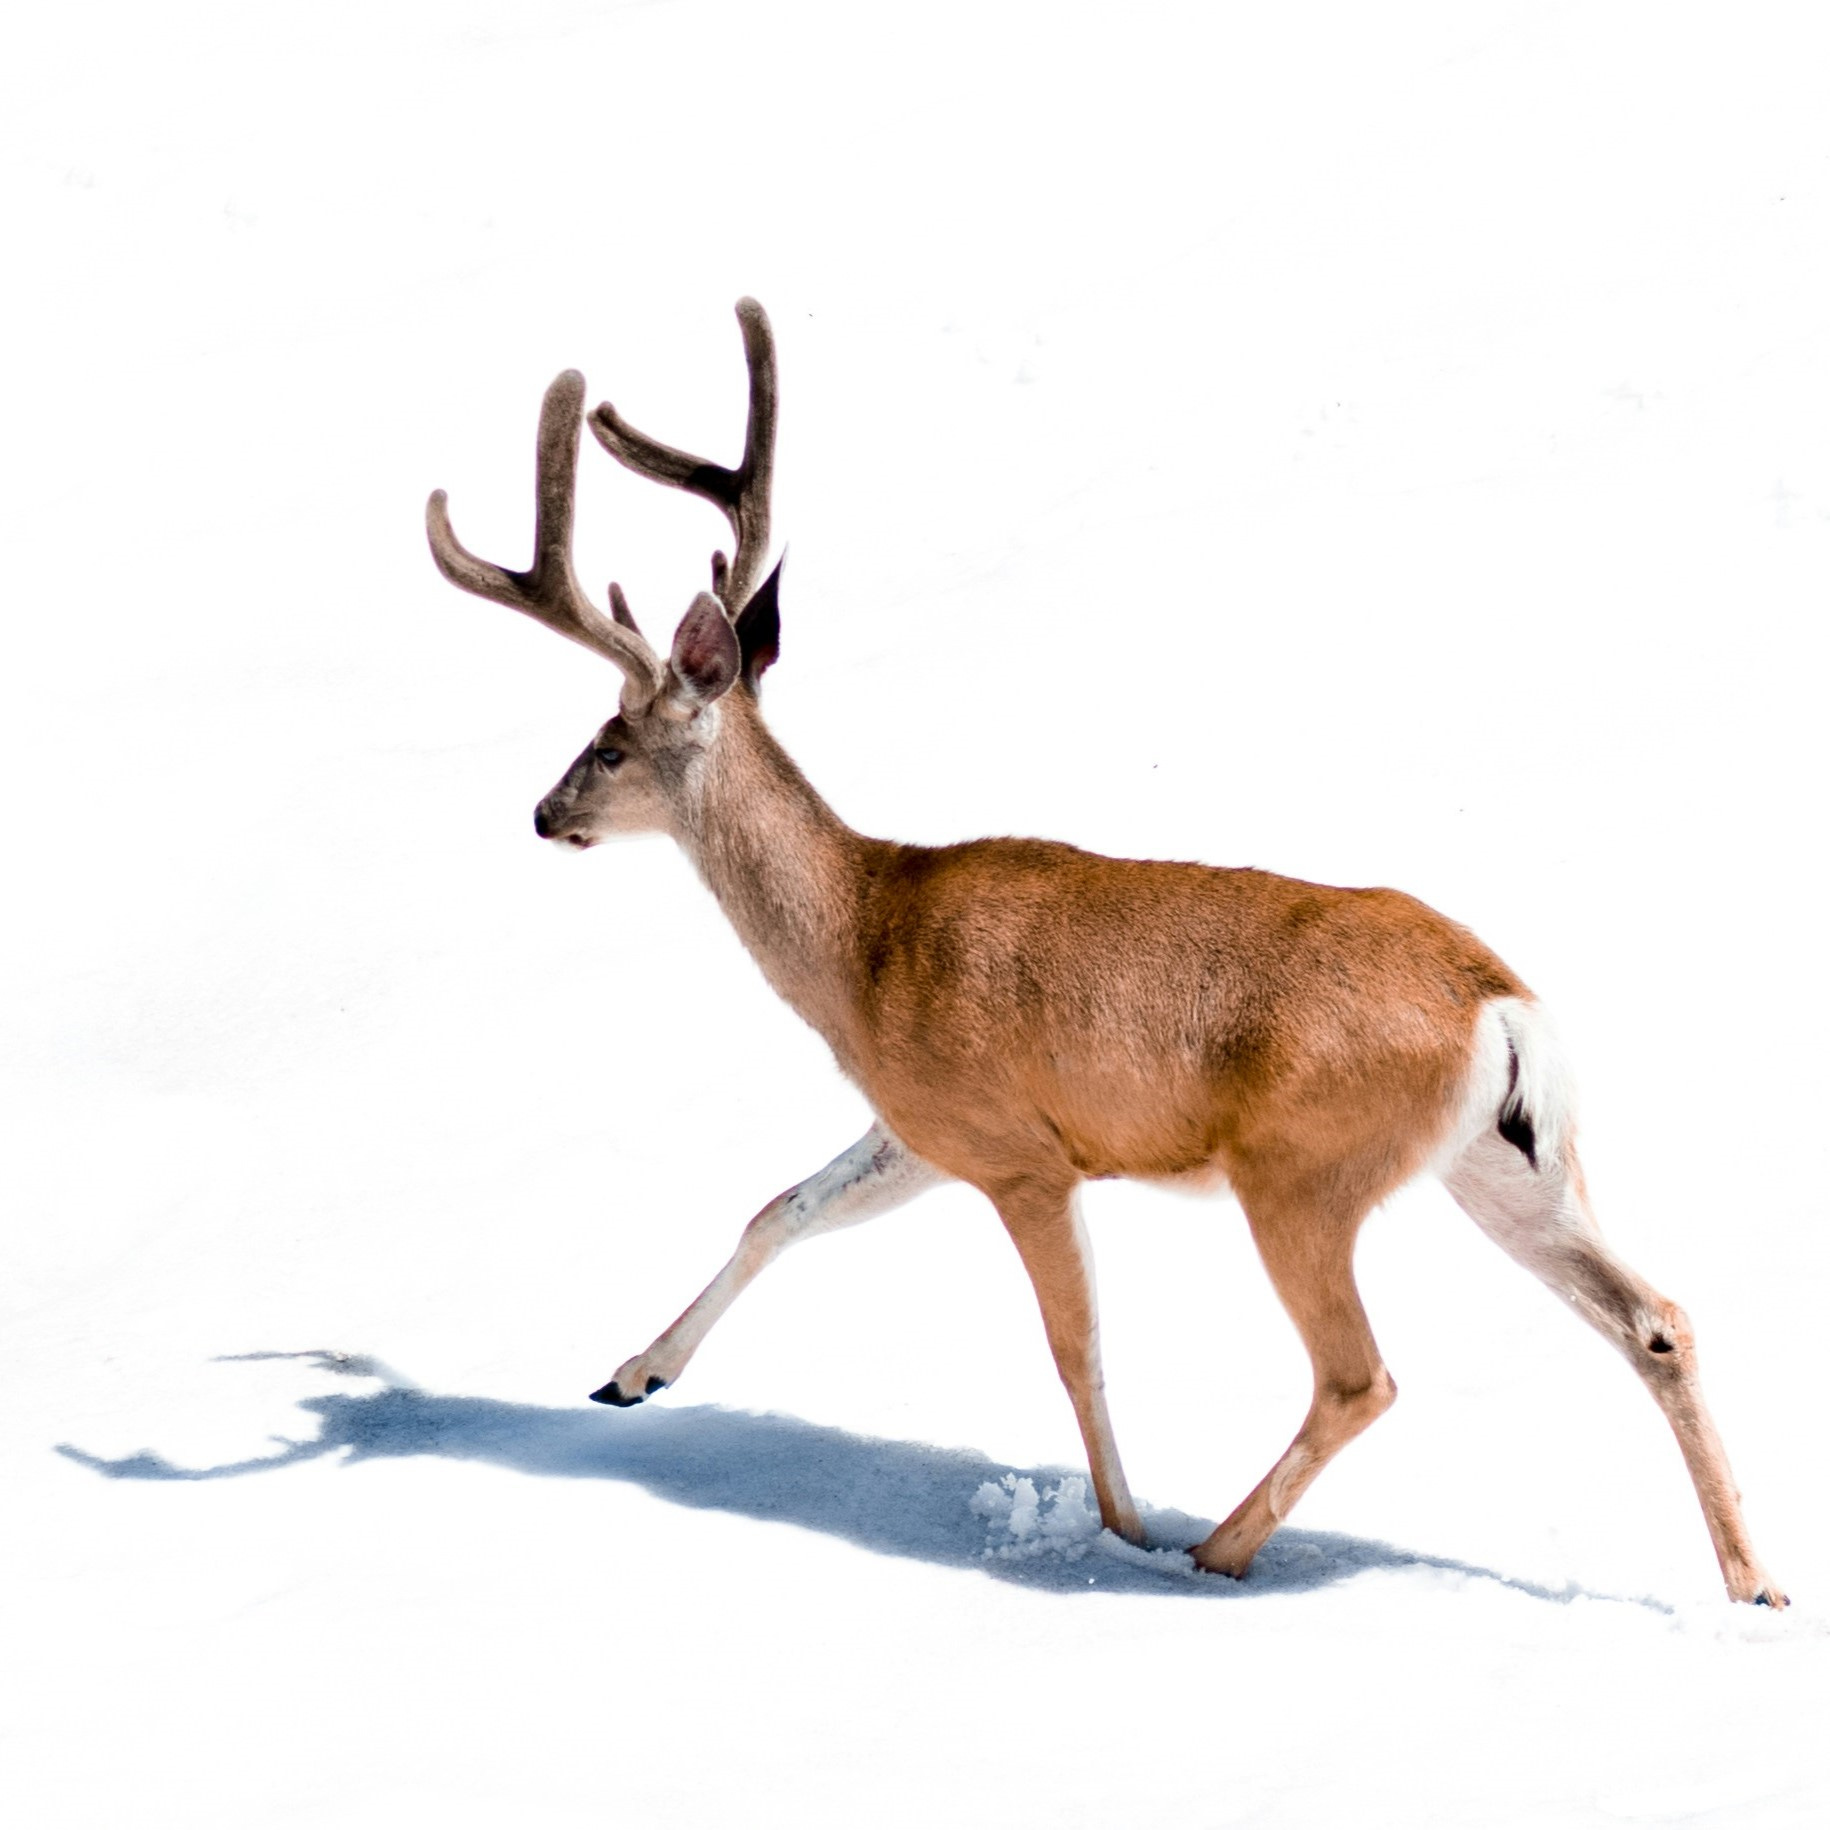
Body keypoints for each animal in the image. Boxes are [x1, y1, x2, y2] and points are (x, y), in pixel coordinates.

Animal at [426, 298, 1785, 1606]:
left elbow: (1076, 1350)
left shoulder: (1021, 1153)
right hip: (1505, 1162)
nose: (542, 814)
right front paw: (630, 1374)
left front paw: (1121, 1526)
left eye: (608, 743)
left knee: (1360, 1375)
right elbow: (778, 1209)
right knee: (1654, 1319)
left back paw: (1212, 1552)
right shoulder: (925, 1129)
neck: (864, 943)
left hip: (1305, 1171)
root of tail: (1500, 1007)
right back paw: (1753, 1583)